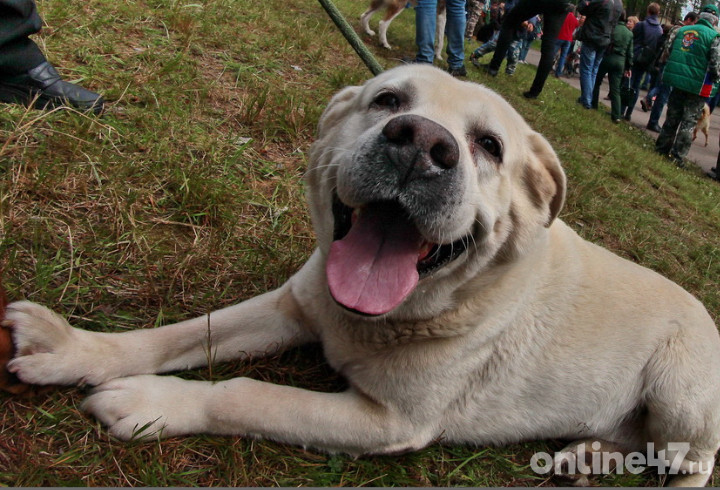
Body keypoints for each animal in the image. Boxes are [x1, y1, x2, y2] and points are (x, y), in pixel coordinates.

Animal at [5, 65, 720, 486]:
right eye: (387, 100)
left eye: (490, 146)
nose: (421, 144)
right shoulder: (292, 304)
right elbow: (180, 334)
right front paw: (75, 349)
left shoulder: (388, 422)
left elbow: (244, 392)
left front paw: (150, 402)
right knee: (638, 442)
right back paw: (589, 454)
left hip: (681, 391)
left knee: (695, 460)